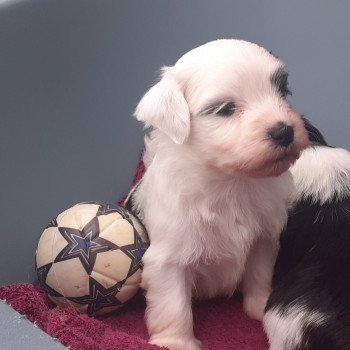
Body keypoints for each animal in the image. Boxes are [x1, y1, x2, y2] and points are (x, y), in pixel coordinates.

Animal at [127, 39, 308, 348]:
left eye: (283, 91)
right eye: (224, 108)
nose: (284, 131)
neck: (229, 181)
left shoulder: (263, 239)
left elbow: (259, 275)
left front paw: (260, 307)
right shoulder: (167, 260)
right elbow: (172, 304)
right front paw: (176, 341)